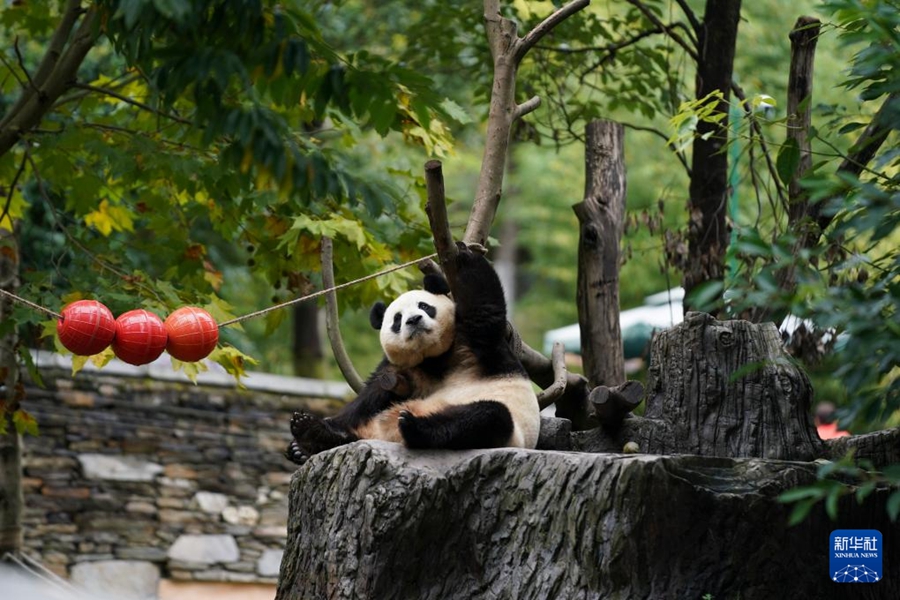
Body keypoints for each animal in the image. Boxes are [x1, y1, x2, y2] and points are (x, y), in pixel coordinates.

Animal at [288, 244, 536, 464]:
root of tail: (384, 436)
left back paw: (413, 427)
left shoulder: (476, 346)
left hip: (508, 431)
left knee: (485, 417)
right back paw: (310, 435)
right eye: (397, 319)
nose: (414, 320)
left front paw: (465, 254)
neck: (433, 357)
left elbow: (485, 309)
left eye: (424, 306)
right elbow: (368, 397)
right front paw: (313, 430)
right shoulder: (401, 370)